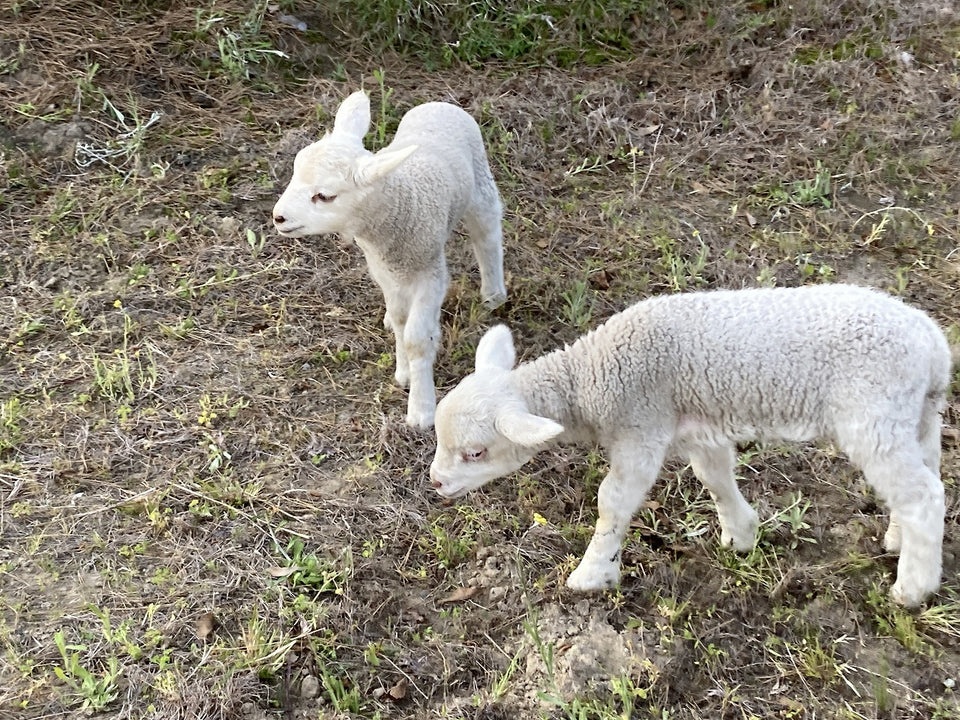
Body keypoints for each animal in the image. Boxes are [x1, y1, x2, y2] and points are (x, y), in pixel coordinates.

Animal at [272, 90, 506, 428]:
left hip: (479, 183)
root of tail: (437, 104)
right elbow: (399, 321)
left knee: (486, 234)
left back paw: (493, 294)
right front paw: (404, 371)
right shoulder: (386, 271)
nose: (278, 217)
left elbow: (416, 338)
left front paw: (421, 409)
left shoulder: (429, 272)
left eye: (325, 196)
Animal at [430, 284, 952, 604]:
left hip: (873, 415)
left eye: (475, 452)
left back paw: (914, 588)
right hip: (915, 417)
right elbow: (715, 477)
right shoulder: (696, 428)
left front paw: (593, 574)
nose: (436, 483)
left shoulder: (640, 424)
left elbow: (612, 501)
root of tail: (934, 344)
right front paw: (741, 535)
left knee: (924, 495)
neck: (591, 377)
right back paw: (899, 541)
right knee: (925, 477)